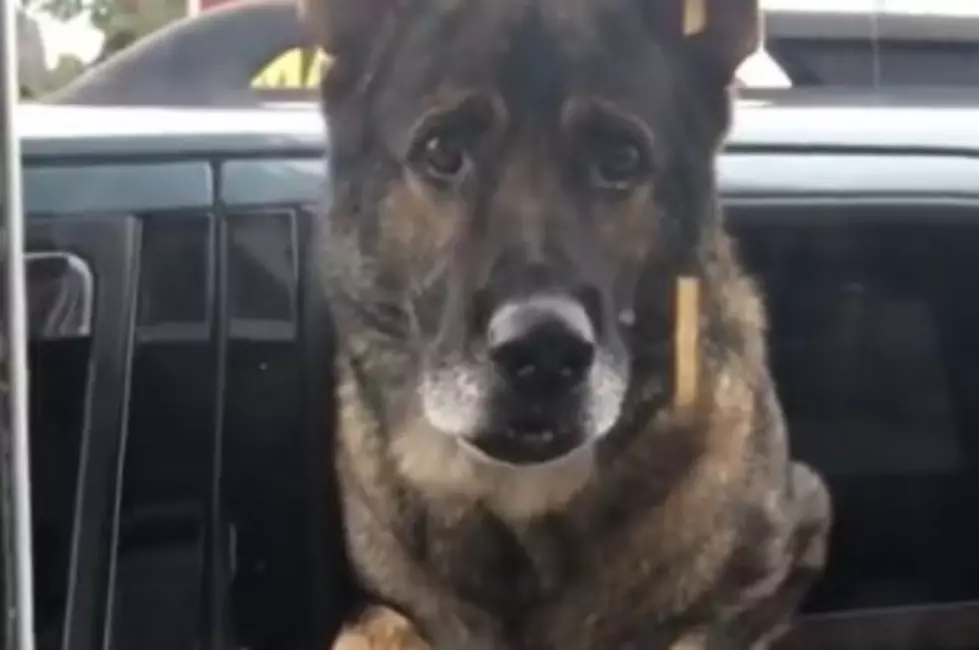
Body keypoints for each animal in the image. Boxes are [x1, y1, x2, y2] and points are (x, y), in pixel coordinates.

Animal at [302, 0, 832, 644]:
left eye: (621, 159)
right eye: (442, 151)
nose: (545, 353)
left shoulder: (792, 540)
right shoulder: (383, 597)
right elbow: (377, 624)